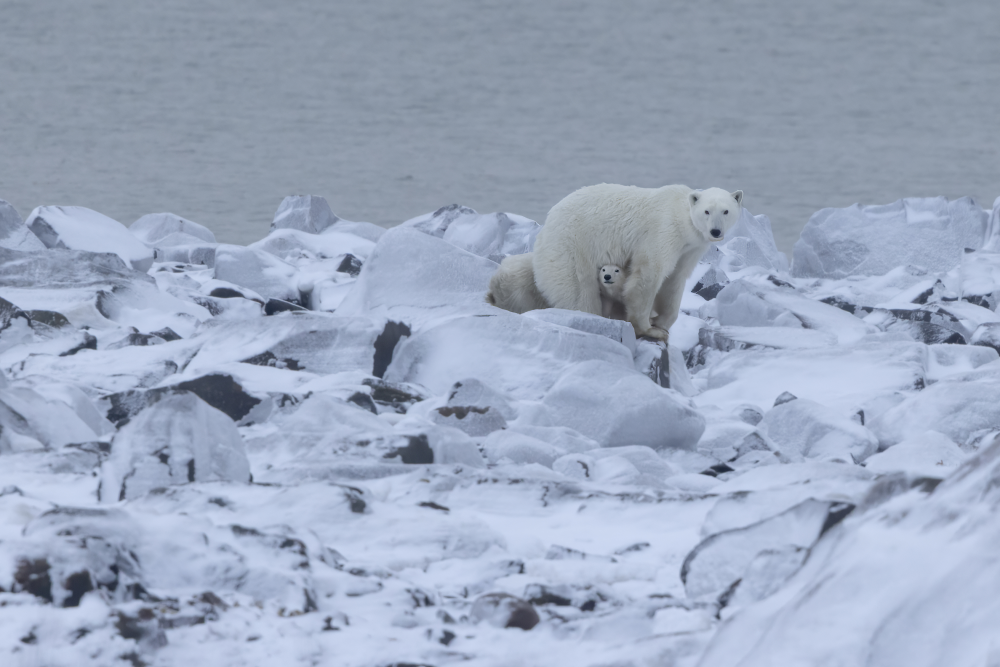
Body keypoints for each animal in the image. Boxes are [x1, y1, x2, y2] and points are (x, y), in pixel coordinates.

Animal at [532, 184, 743, 340]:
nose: (715, 231)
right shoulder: (663, 231)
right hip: (572, 247)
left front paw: (662, 323)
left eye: (726, 211)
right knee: (579, 293)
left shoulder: (690, 248)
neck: (681, 217)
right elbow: (649, 275)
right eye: (707, 211)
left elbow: (675, 279)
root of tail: (545, 227)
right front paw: (649, 329)